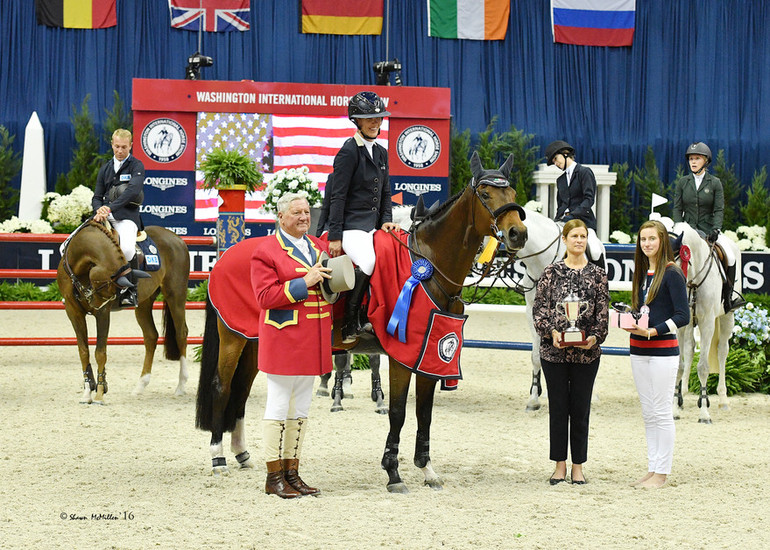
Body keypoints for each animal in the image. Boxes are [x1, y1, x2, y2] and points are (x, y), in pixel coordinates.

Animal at [56, 220, 189, 406]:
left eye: (105, 286)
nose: (93, 304)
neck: (80, 270)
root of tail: (177, 238)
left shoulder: (103, 312)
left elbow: (100, 352)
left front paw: (99, 394)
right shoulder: (73, 311)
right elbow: (83, 351)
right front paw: (87, 392)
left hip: (175, 295)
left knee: (181, 333)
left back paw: (181, 386)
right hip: (144, 303)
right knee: (151, 336)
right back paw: (140, 386)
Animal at [194, 153, 528, 494]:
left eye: (512, 193)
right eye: (485, 194)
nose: (518, 234)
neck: (427, 266)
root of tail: (225, 257)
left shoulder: (429, 352)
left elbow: (425, 412)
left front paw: (427, 469)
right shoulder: (401, 356)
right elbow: (398, 412)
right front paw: (393, 473)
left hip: (252, 342)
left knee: (241, 390)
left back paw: (242, 454)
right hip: (232, 338)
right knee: (222, 386)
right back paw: (218, 458)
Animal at [668, 222, 740, 424]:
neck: (694, 280)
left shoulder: (707, 323)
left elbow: (703, 367)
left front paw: (704, 413)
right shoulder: (681, 324)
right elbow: (680, 365)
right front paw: (675, 409)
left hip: (727, 316)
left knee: (723, 351)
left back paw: (723, 400)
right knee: (690, 348)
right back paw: (681, 395)